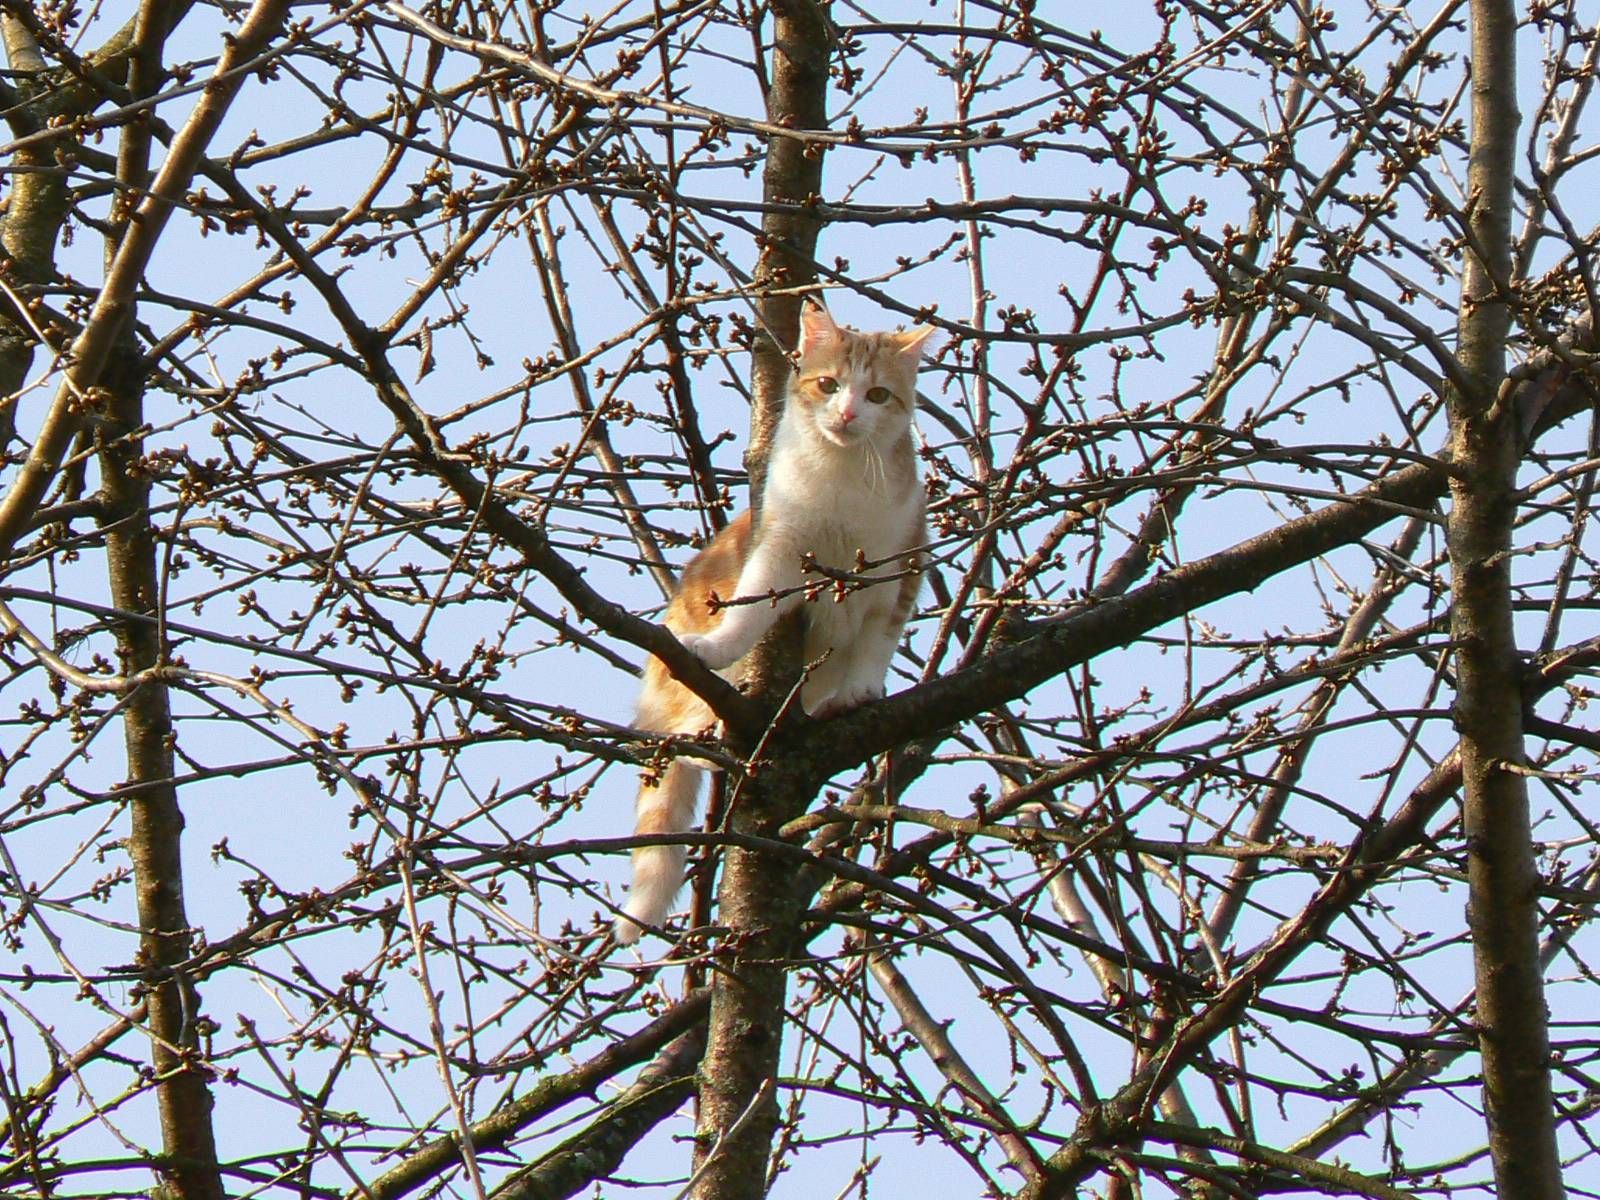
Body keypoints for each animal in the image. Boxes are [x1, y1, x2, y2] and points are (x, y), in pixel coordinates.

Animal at [614, 305, 934, 947]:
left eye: (878, 395)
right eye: (828, 385)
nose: (847, 414)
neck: (841, 481)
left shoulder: (901, 566)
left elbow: (877, 641)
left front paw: (860, 691)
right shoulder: (779, 548)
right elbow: (752, 605)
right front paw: (721, 643)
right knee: (686, 733)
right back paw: (712, 723)